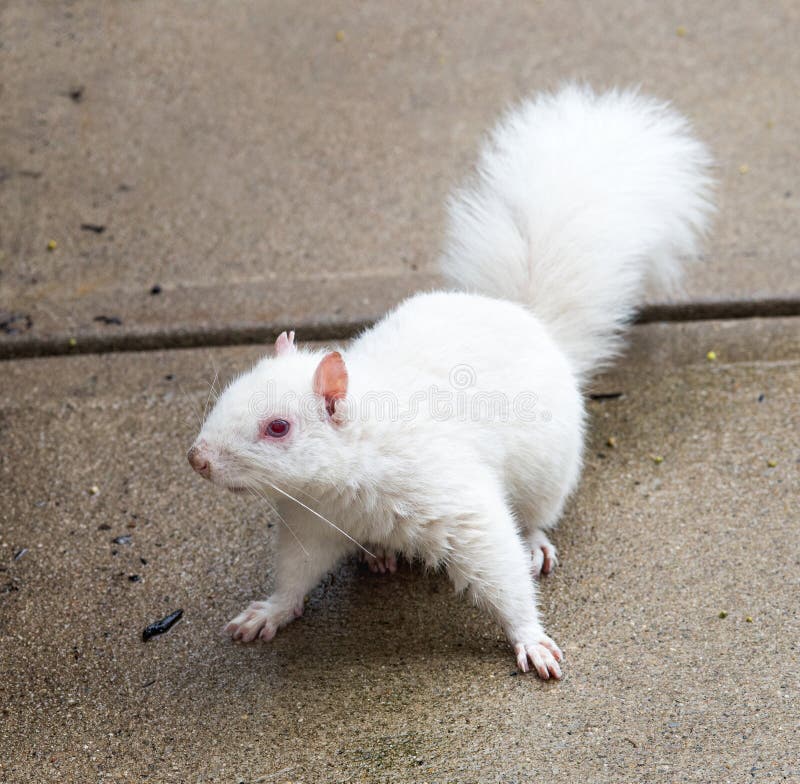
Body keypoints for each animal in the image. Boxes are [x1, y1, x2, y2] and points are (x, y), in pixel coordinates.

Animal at [191, 82, 716, 676]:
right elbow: (295, 574)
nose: (198, 459)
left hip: (548, 468)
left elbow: (497, 563)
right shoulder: (314, 521)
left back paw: (534, 542)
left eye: (278, 428)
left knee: (536, 514)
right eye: (228, 393)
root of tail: (529, 320)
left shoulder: (454, 499)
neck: (349, 478)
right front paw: (269, 613)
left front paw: (531, 638)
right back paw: (381, 555)